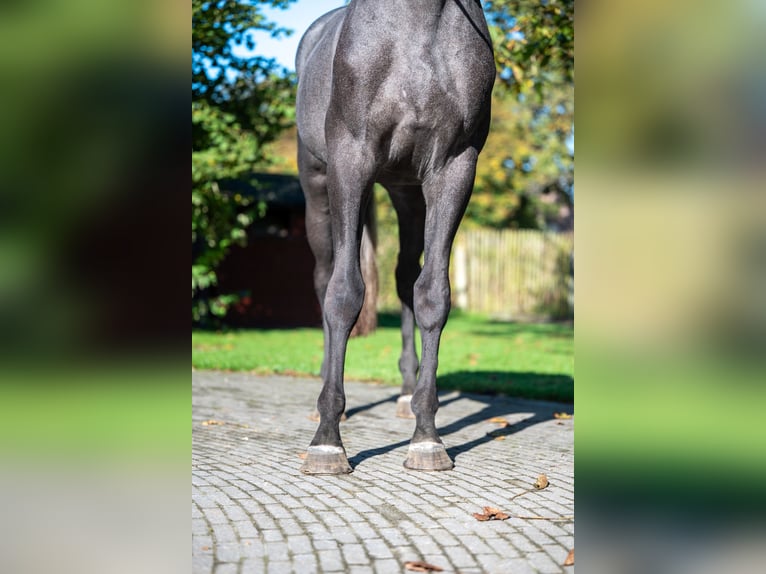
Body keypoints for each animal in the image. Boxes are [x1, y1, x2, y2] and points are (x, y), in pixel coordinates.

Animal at [296, 1, 496, 476]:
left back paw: (406, 394)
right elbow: (344, 294)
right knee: (325, 277)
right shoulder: (351, 161)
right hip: (318, 189)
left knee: (406, 278)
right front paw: (327, 442)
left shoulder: (454, 168)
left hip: (407, 193)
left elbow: (432, 295)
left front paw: (427, 438)